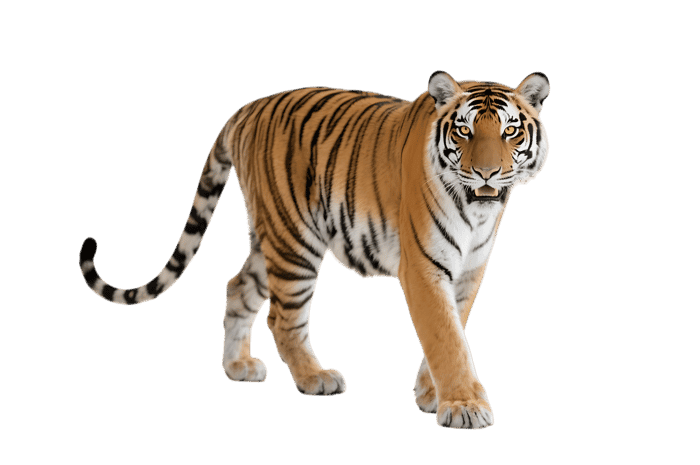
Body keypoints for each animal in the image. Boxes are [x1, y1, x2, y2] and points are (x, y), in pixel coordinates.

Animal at [78, 70, 551, 429]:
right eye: (464, 130)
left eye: (510, 130)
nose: (487, 172)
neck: (476, 212)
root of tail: (247, 108)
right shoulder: (424, 267)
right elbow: (447, 337)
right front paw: (465, 406)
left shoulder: (469, 270)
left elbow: (456, 327)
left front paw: (432, 393)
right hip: (294, 241)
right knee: (283, 318)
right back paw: (314, 377)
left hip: (271, 238)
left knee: (237, 286)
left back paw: (239, 367)